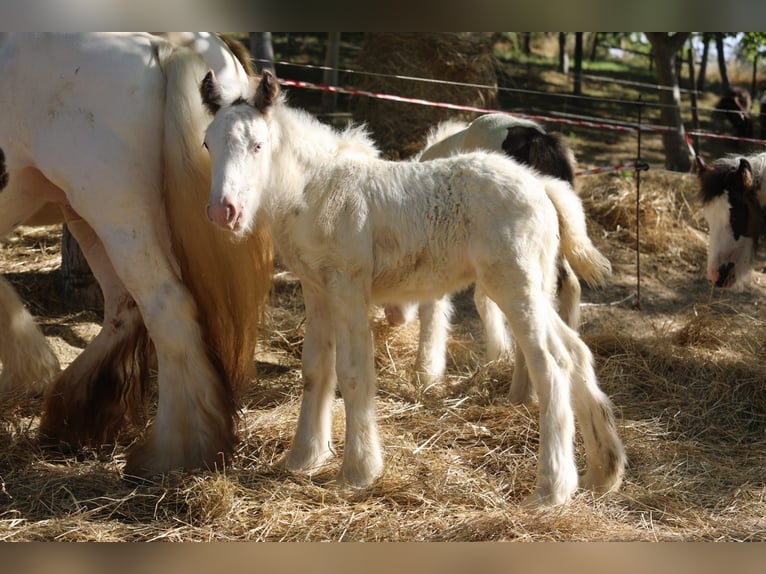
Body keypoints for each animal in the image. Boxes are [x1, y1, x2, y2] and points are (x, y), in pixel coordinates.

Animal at [0, 33, 274, 480]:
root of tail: (168, 42)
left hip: (114, 214)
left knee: (168, 310)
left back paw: (178, 451)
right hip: (91, 219)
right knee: (125, 310)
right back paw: (73, 417)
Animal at [384, 113, 612, 404]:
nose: (392, 317)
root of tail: (536, 137)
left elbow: (437, 310)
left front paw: (425, 375)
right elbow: (483, 302)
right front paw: (496, 357)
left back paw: (525, 392)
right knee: (566, 286)